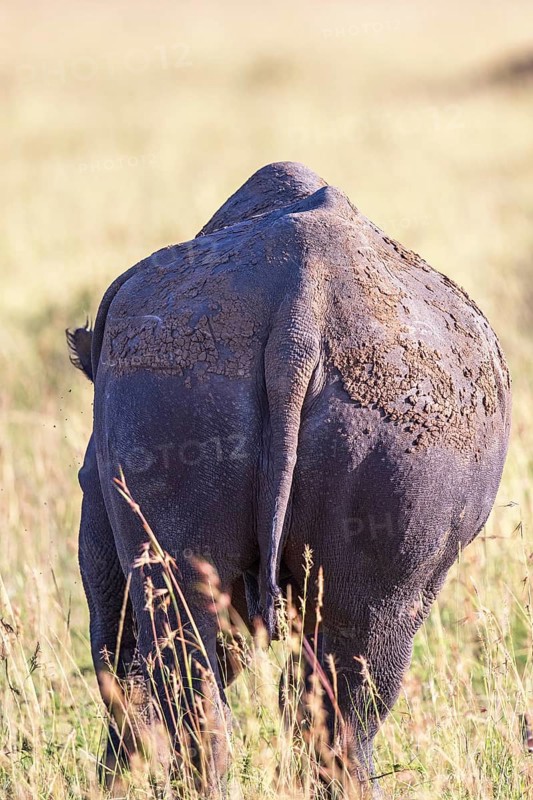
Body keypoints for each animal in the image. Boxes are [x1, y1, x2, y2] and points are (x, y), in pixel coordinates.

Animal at [67, 161, 511, 797]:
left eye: (82, 481)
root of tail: (302, 315)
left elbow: (116, 647)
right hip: (390, 416)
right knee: (353, 660)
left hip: (177, 372)